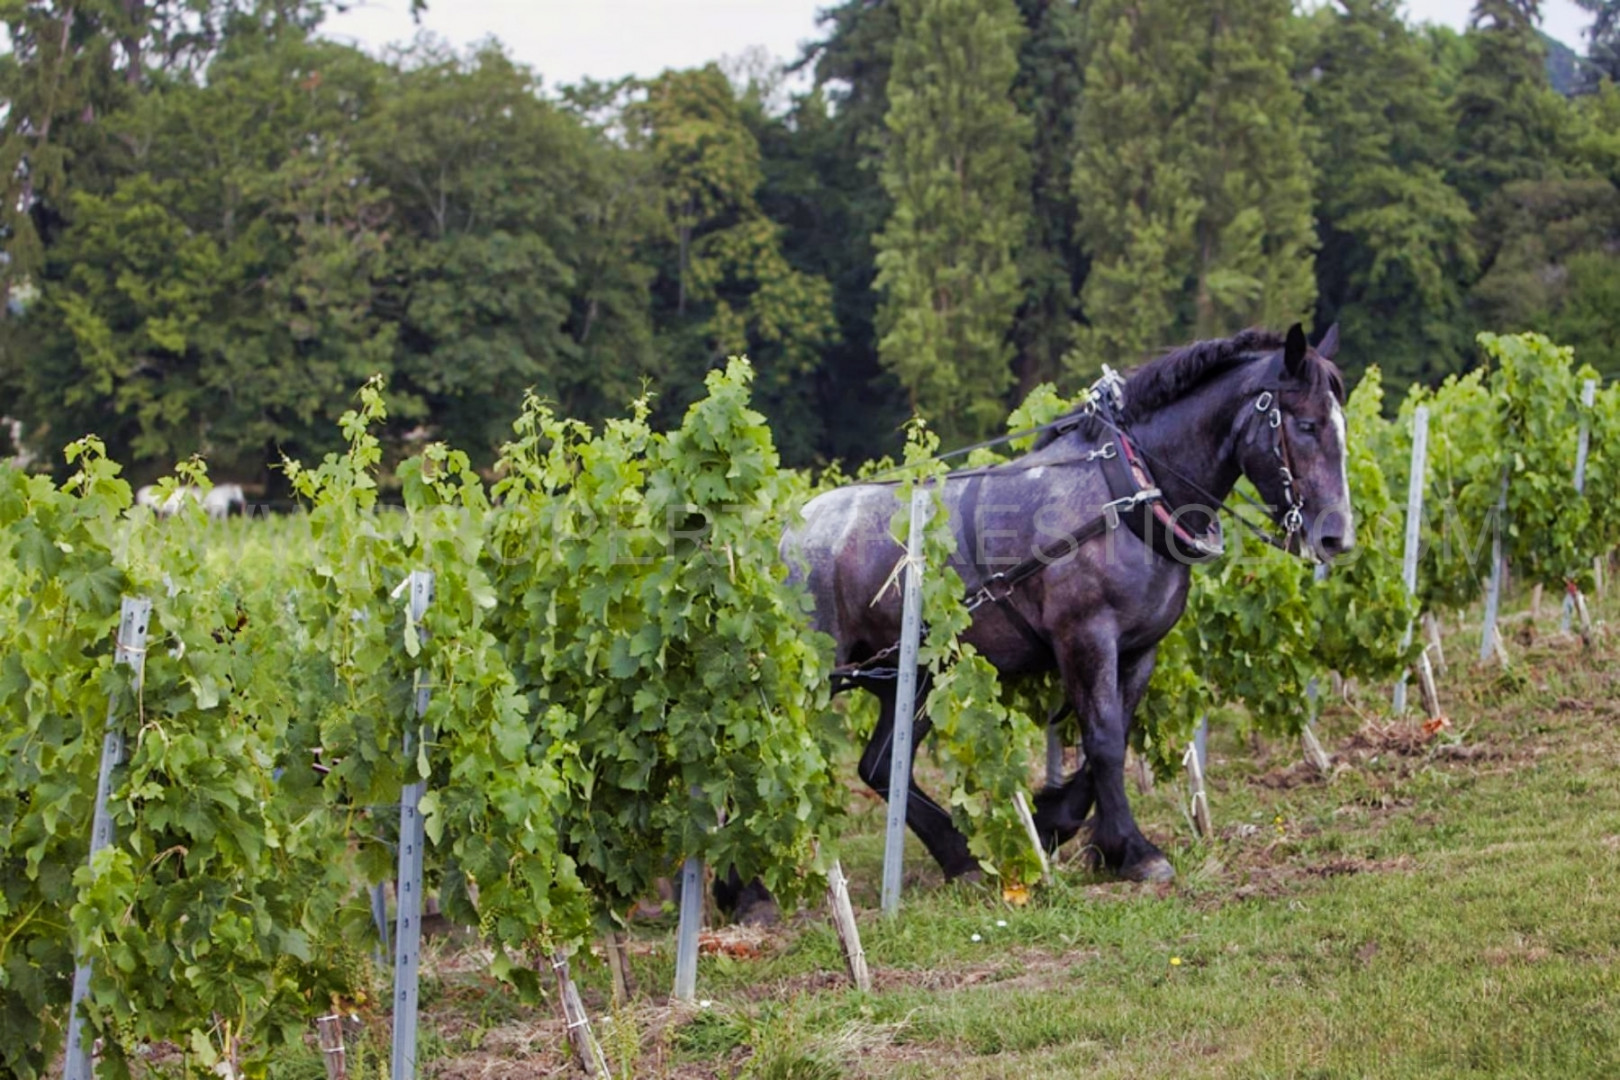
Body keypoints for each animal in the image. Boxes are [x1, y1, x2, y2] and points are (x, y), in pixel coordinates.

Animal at [735, 323, 1354, 913]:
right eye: (1305, 425)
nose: (1336, 537)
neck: (1128, 494)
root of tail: (788, 530)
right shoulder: (1086, 637)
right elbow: (1103, 739)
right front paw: (1133, 850)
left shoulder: (1140, 648)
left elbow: (1116, 734)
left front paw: (1060, 824)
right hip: (814, 675)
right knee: (755, 757)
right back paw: (747, 895)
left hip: (914, 676)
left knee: (882, 765)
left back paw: (960, 856)